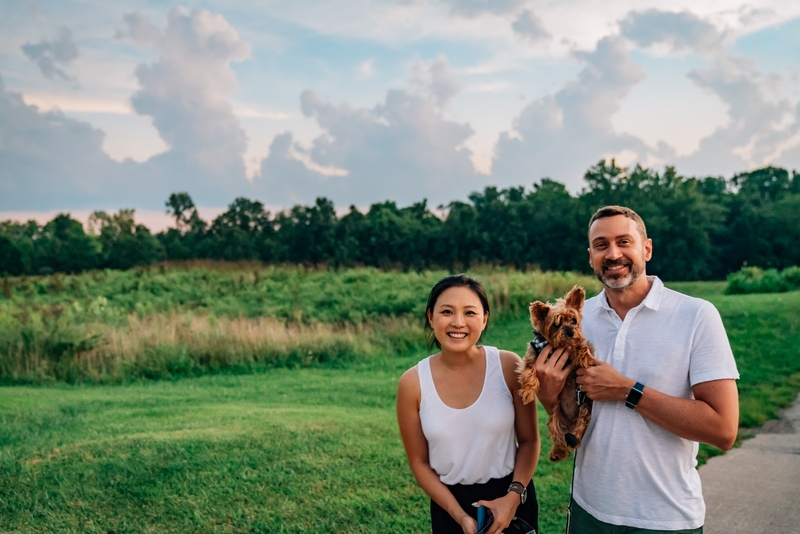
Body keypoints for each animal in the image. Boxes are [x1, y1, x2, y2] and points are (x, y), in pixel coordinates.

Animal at [520, 286, 592, 462]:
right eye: (556, 324)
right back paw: (558, 452)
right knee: (558, 434)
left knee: (581, 423)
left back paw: (574, 437)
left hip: (585, 406)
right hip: (556, 415)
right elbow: (528, 372)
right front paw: (527, 392)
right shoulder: (532, 356)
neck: (557, 346)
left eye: (573, 320)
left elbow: (580, 346)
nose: (571, 332)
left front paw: (584, 356)